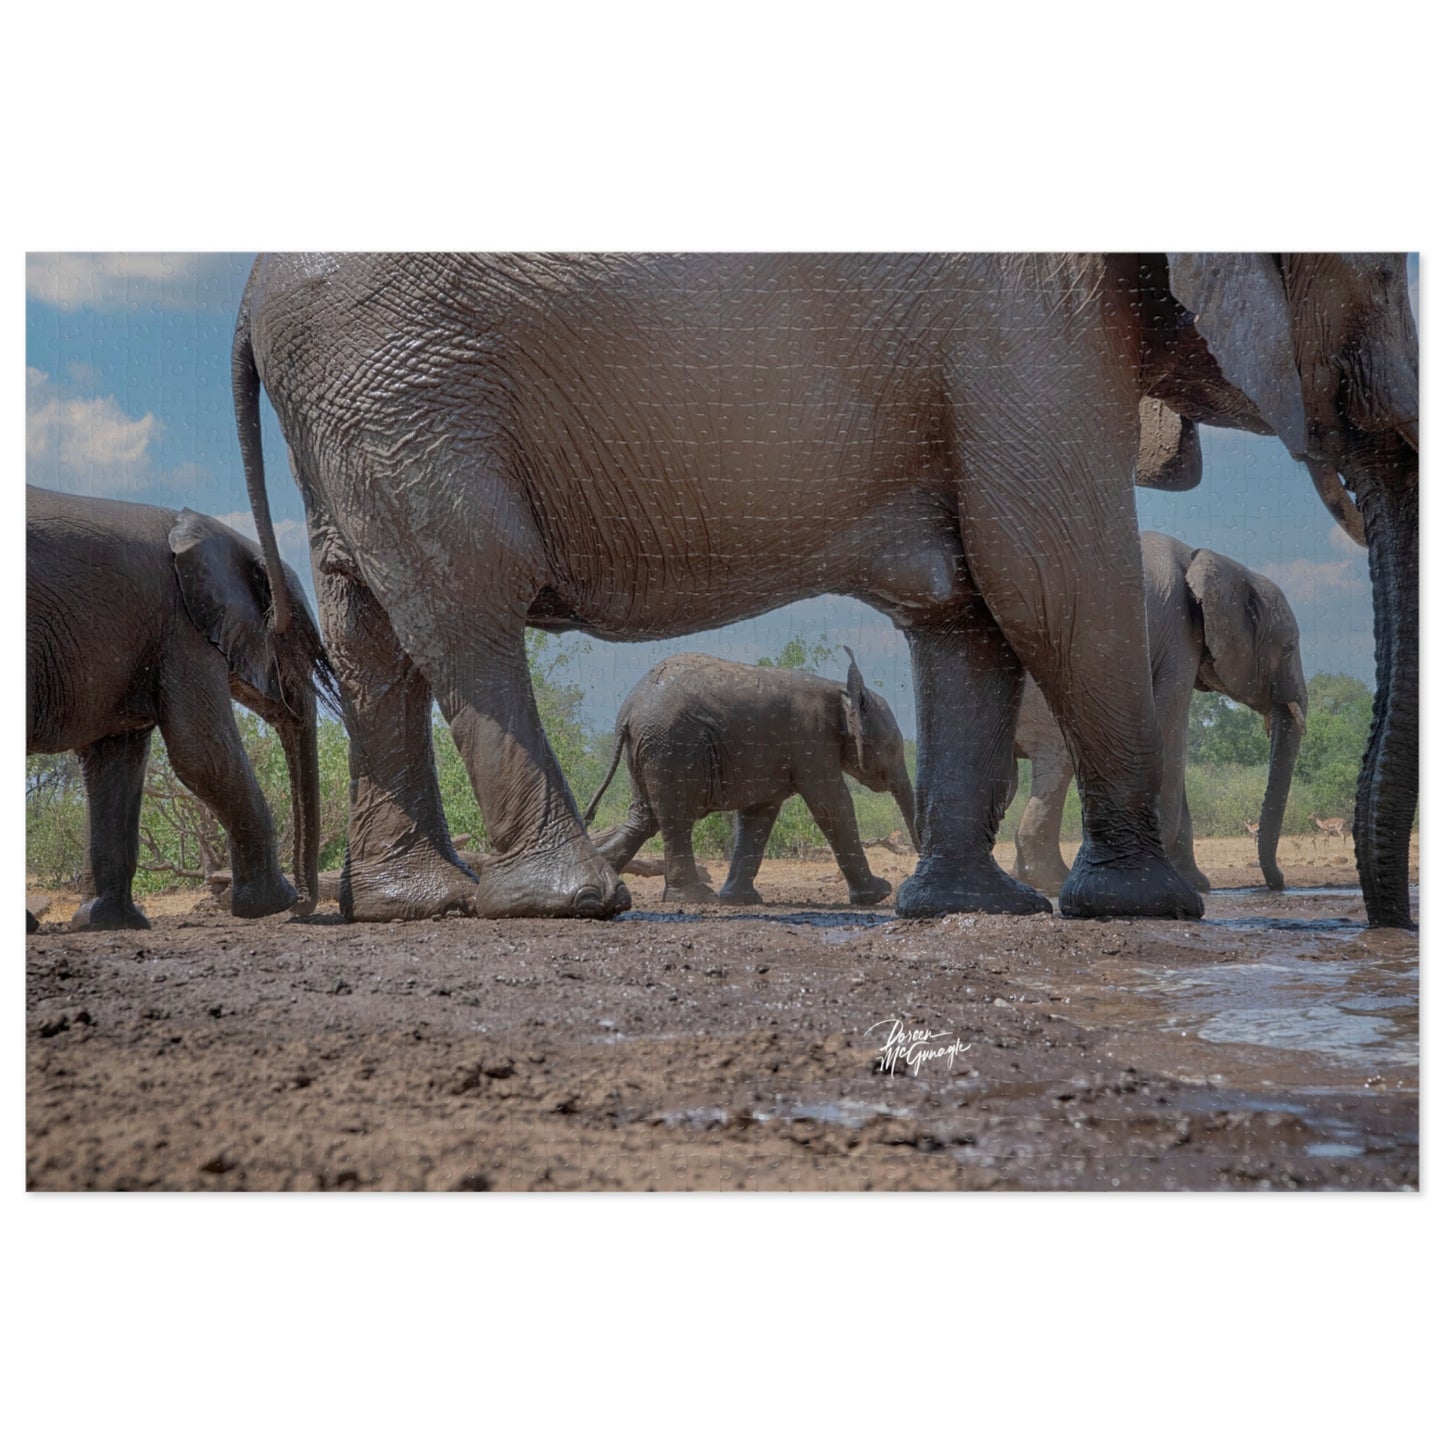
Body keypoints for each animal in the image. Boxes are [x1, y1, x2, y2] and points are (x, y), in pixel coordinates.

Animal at [25, 486, 336, 931]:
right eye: (302, 645)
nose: (304, 907)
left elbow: (114, 764)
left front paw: (108, 922)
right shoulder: (183, 629)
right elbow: (204, 755)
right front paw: (273, 903)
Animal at [581, 648, 919, 905]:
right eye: (892, 748)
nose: (912, 872)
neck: (841, 690)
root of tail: (628, 709)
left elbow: (758, 816)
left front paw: (740, 899)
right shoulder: (810, 739)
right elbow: (833, 806)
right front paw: (879, 894)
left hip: (648, 749)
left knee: (643, 819)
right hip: (672, 746)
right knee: (675, 818)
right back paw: (695, 898)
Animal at [1011, 531, 1308, 896]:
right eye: (1289, 647)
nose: (1277, 883)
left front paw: (1195, 883)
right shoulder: (1179, 635)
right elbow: (1171, 730)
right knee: (1059, 759)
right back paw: (1052, 881)